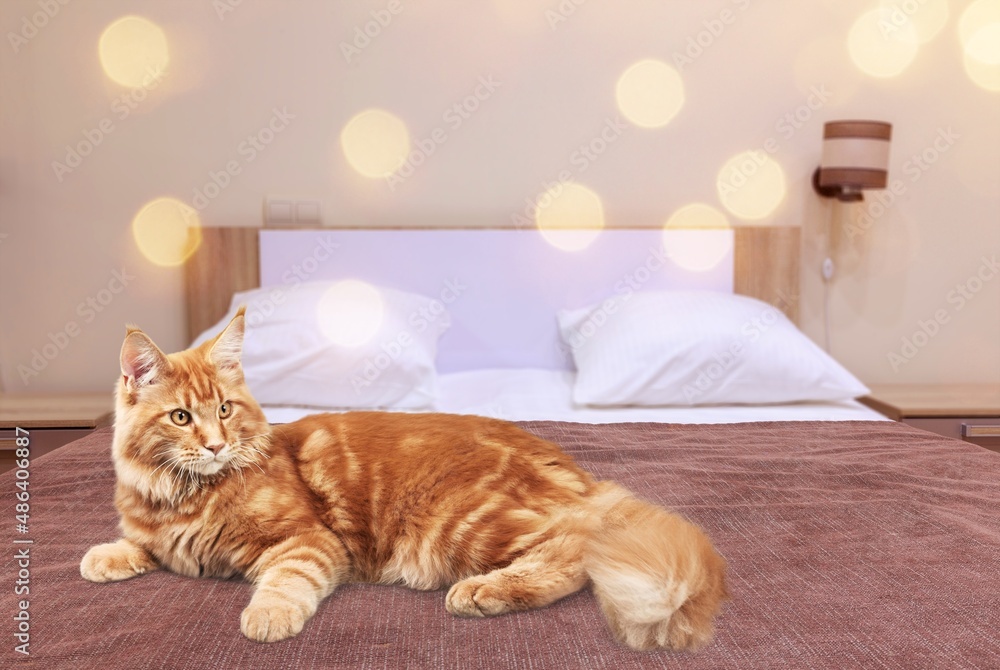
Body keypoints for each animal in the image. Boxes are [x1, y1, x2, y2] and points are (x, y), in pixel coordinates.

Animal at [80, 310, 728, 652]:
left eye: (224, 410)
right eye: (181, 417)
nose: (216, 445)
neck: (184, 497)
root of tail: (577, 472)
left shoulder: (308, 541)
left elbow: (285, 581)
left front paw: (267, 618)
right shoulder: (161, 534)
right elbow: (137, 545)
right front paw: (104, 556)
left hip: (460, 521)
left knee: (575, 551)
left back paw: (482, 592)